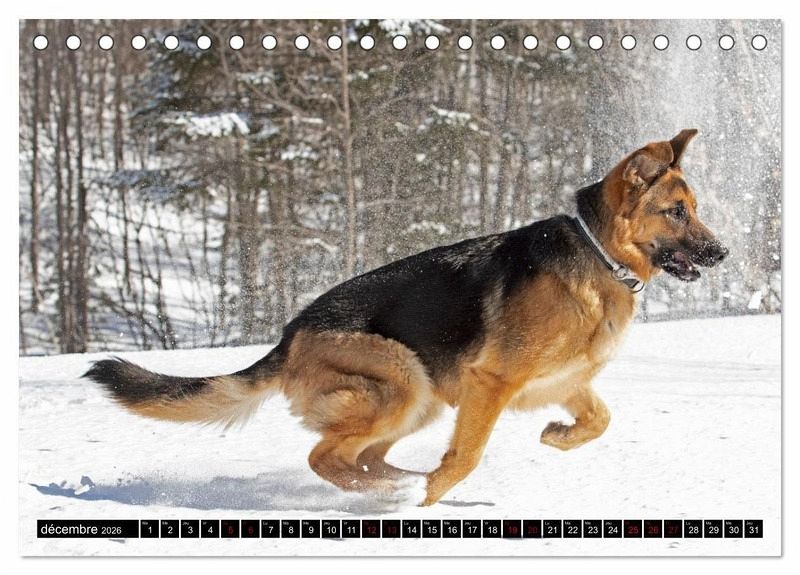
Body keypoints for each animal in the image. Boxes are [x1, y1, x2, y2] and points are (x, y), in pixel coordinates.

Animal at [85, 129, 727, 506]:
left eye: (693, 209)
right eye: (676, 212)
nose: (722, 253)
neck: (597, 254)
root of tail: (291, 333)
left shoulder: (565, 383)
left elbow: (599, 420)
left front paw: (558, 435)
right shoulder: (491, 382)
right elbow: (466, 456)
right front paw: (433, 499)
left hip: (421, 400)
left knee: (359, 456)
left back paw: (392, 486)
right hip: (402, 381)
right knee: (325, 457)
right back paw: (398, 494)